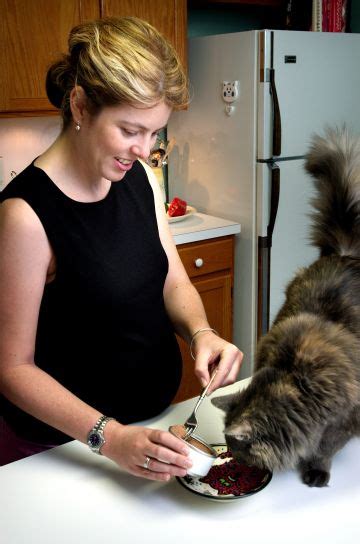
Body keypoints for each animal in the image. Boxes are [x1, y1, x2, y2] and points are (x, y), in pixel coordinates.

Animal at [212, 127, 360, 488]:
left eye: (237, 449)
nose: (232, 457)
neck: (295, 378)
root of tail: (344, 254)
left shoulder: (345, 421)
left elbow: (325, 448)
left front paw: (316, 470)